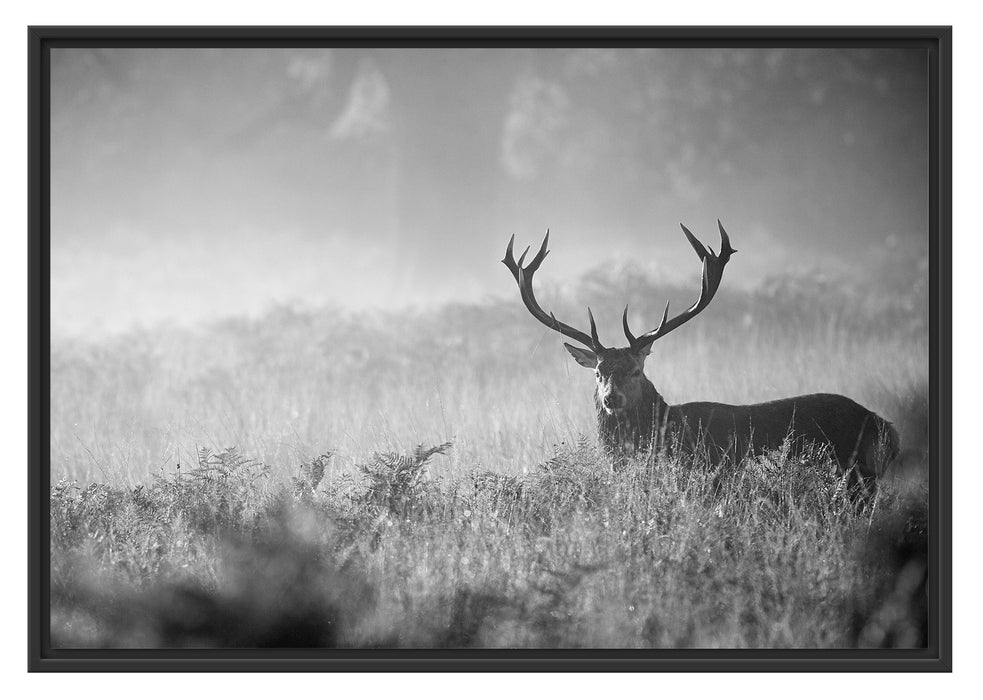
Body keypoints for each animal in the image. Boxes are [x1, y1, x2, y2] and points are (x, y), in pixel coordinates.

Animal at [503, 221, 899, 500]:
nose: (611, 398)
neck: (667, 432)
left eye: (636, 370)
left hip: (855, 474)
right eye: (599, 372)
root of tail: (886, 427)